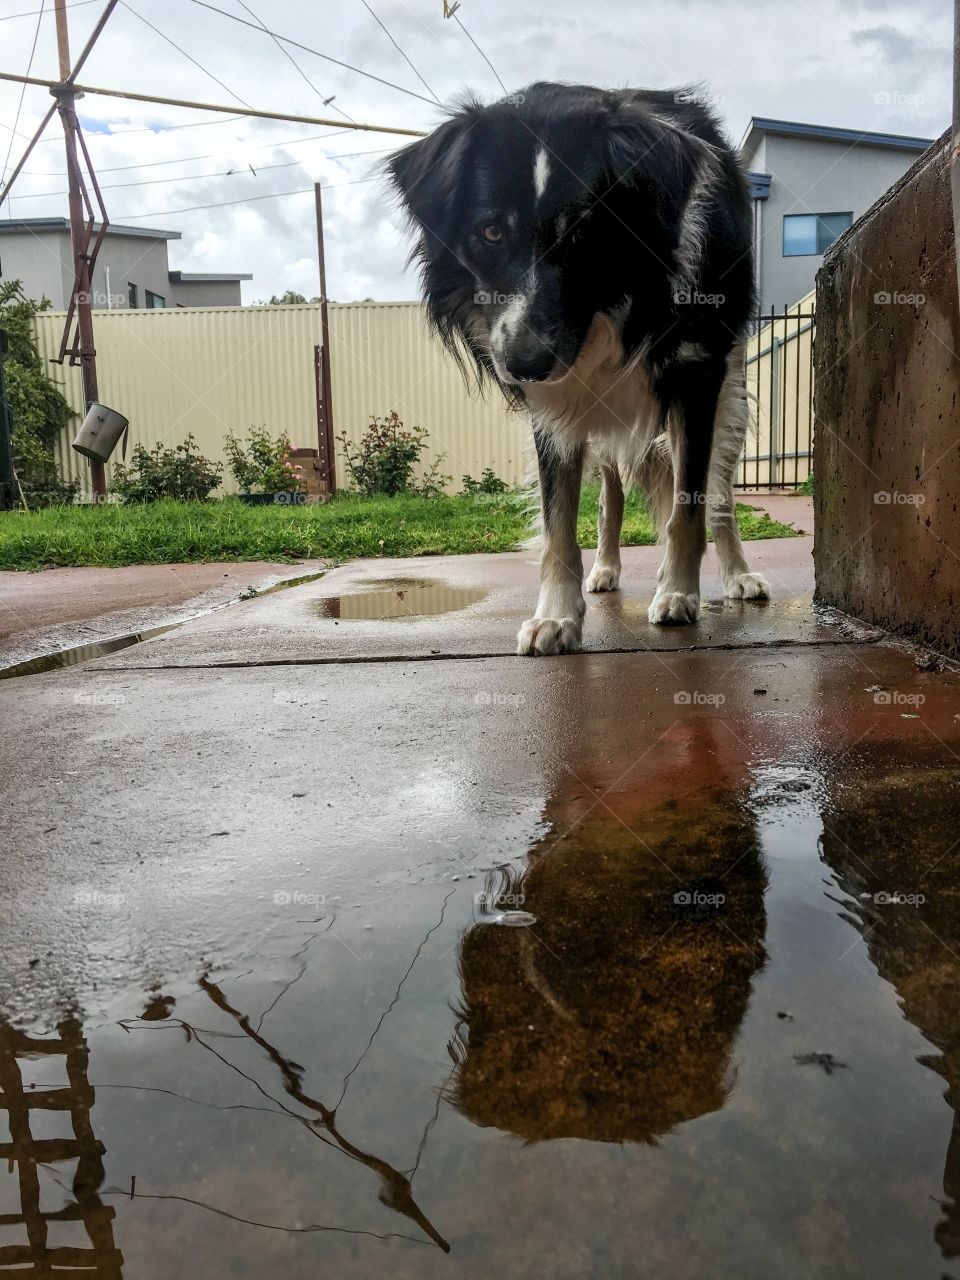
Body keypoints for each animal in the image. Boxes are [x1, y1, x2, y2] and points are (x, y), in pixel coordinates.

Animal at [386, 80, 773, 655]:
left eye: (586, 236)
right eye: (491, 233)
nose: (524, 365)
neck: (615, 310)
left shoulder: (697, 375)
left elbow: (689, 505)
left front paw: (678, 595)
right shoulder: (554, 405)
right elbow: (558, 522)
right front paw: (555, 616)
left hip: (731, 395)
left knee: (720, 494)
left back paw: (738, 576)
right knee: (610, 497)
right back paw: (605, 570)